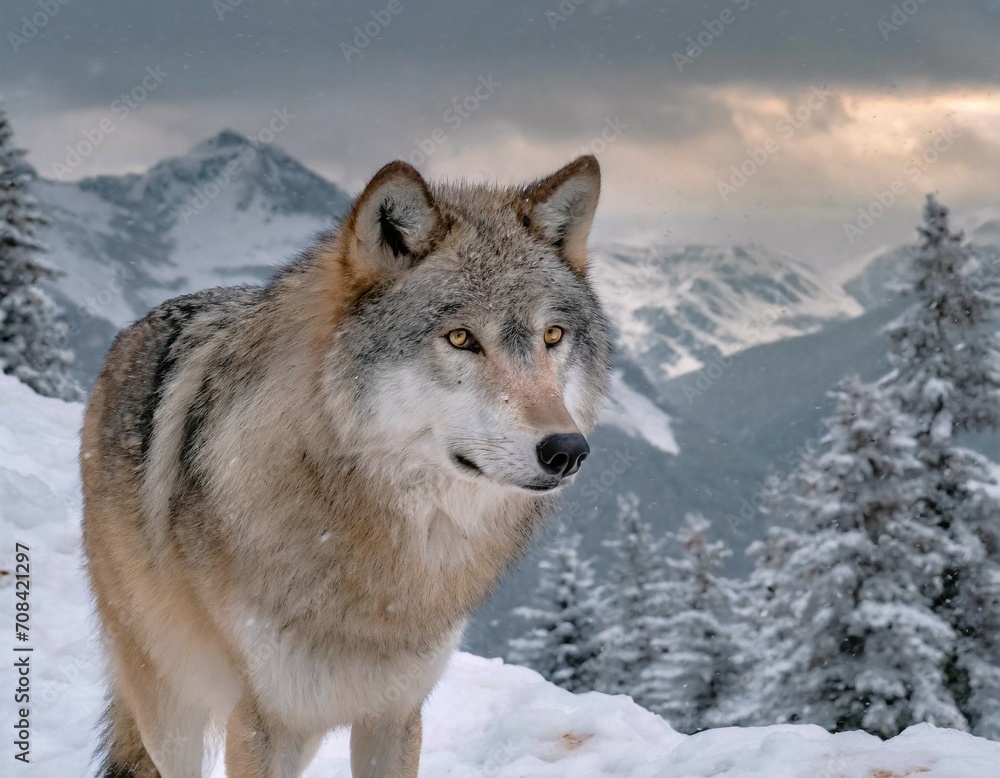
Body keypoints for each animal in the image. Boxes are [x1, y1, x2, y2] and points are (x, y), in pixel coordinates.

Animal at [81, 155, 613, 777]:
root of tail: (135, 330)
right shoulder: (263, 722)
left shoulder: (395, 715)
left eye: (552, 335)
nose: (567, 450)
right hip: (172, 708)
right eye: (460, 338)